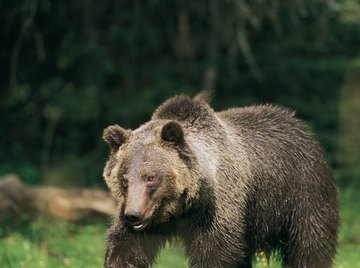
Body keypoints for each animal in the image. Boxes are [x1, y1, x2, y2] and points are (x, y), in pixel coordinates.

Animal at [101, 92, 338, 268]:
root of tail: (299, 123)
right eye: (124, 179)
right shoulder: (146, 220)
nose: (133, 215)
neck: (183, 207)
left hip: (301, 192)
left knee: (310, 244)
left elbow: (216, 253)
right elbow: (125, 247)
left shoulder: (219, 208)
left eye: (150, 177)